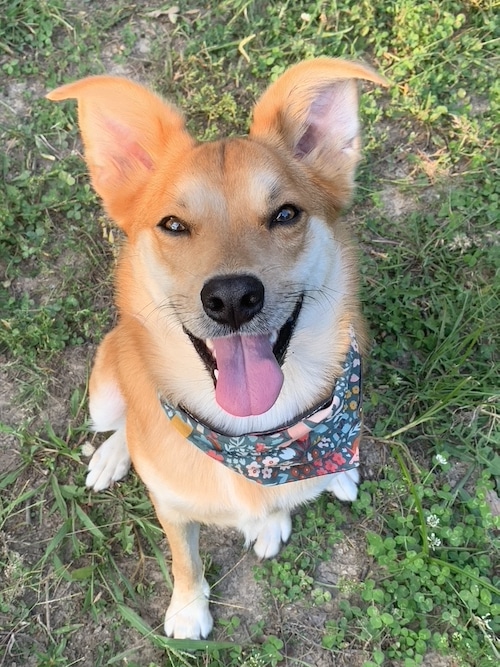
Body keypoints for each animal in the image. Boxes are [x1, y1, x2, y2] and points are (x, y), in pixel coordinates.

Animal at [47, 60, 386, 640]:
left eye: (285, 214)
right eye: (173, 224)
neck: (256, 439)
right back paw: (114, 454)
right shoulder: (172, 509)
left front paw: (273, 520)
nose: (231, 298)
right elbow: (184, 557)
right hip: (104, 387)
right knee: (121, 423)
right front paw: (189, 609)